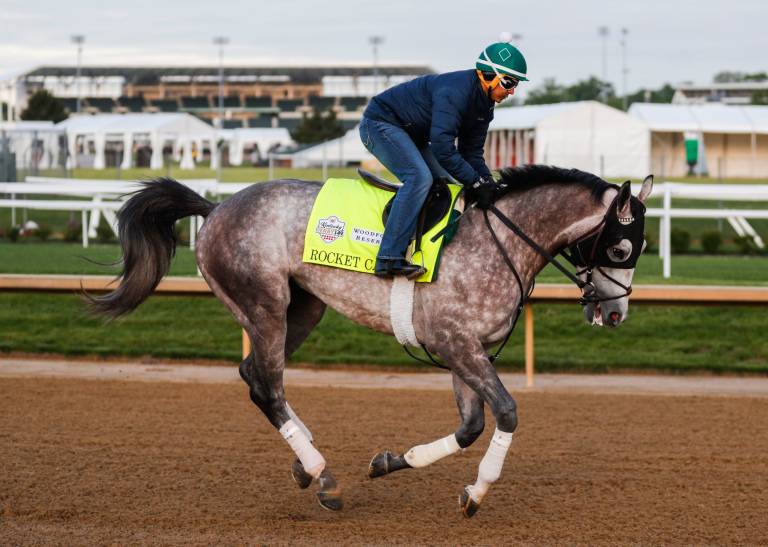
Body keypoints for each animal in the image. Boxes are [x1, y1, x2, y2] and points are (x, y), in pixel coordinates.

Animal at [88, 165, 653, 518]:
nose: (617, 312)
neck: (501, 243)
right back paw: (322, 476)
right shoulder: (457, 344)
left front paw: (391, 462)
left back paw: (304, 461)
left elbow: (470, 427)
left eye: (641, 247)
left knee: (257, 377)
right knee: (266, 385)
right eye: (621, 247)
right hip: (263, 304)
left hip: (303, 307)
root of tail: (215, 207)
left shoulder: (465, 351)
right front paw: (477, 492)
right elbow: (508, 413)